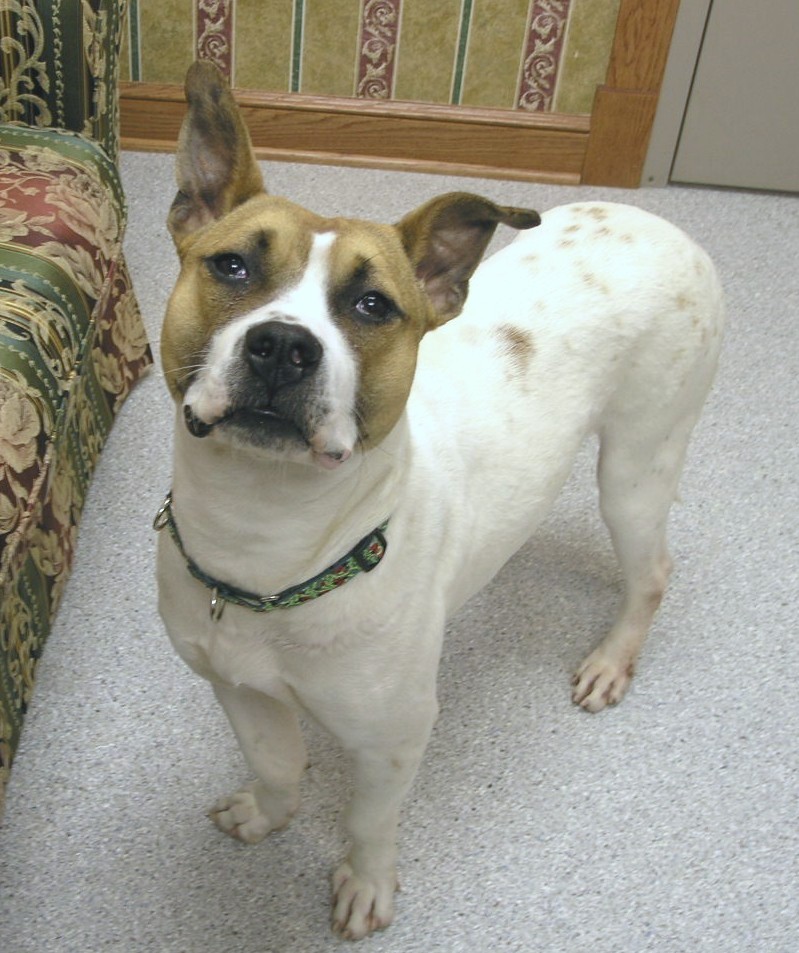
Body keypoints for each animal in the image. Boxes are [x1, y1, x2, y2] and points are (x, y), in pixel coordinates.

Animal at [155, 63, 724, 940]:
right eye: (232, 268)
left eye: (372, 306)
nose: (282, 346)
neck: (266, 538)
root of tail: (663, 224)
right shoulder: (237, 686)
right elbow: (278, 764)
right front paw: (267, 812)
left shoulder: (392, 736)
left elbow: (368, 820)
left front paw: (366, 884)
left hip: (635, 467)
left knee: (652, 570)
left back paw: (610, 659)